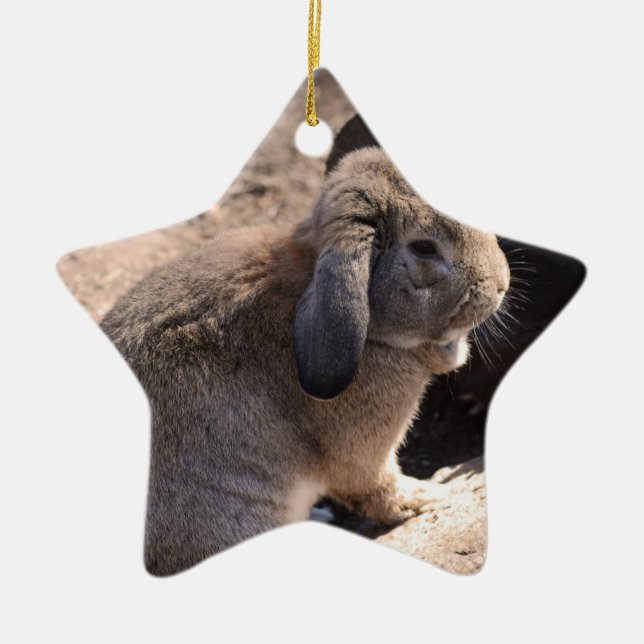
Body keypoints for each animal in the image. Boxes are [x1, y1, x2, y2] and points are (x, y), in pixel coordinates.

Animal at [101, 136, 510, 576]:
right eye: (423, 247)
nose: (502, 284)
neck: (373, 331)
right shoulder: (363, 454)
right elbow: (377, 488)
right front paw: (431, 496)